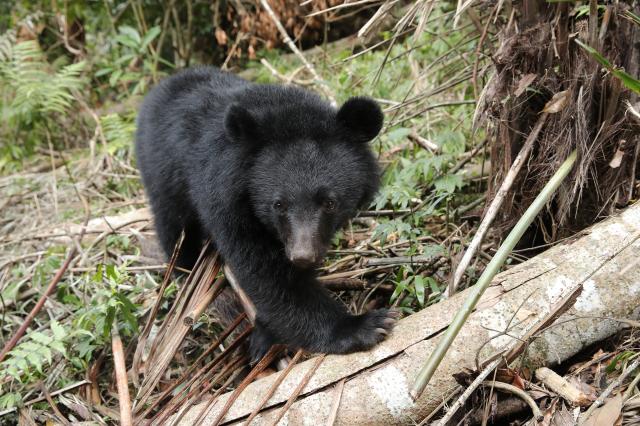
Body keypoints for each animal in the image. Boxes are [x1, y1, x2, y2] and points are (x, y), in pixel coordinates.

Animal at [135, 66, 396, 360]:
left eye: (329, 202)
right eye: (278, 204)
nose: (302, 256)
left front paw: (265, 334)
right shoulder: (227, 199)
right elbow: (267, 274)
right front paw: (364, 326)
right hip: (163, 176)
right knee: (175, 229)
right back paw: (185, 274)